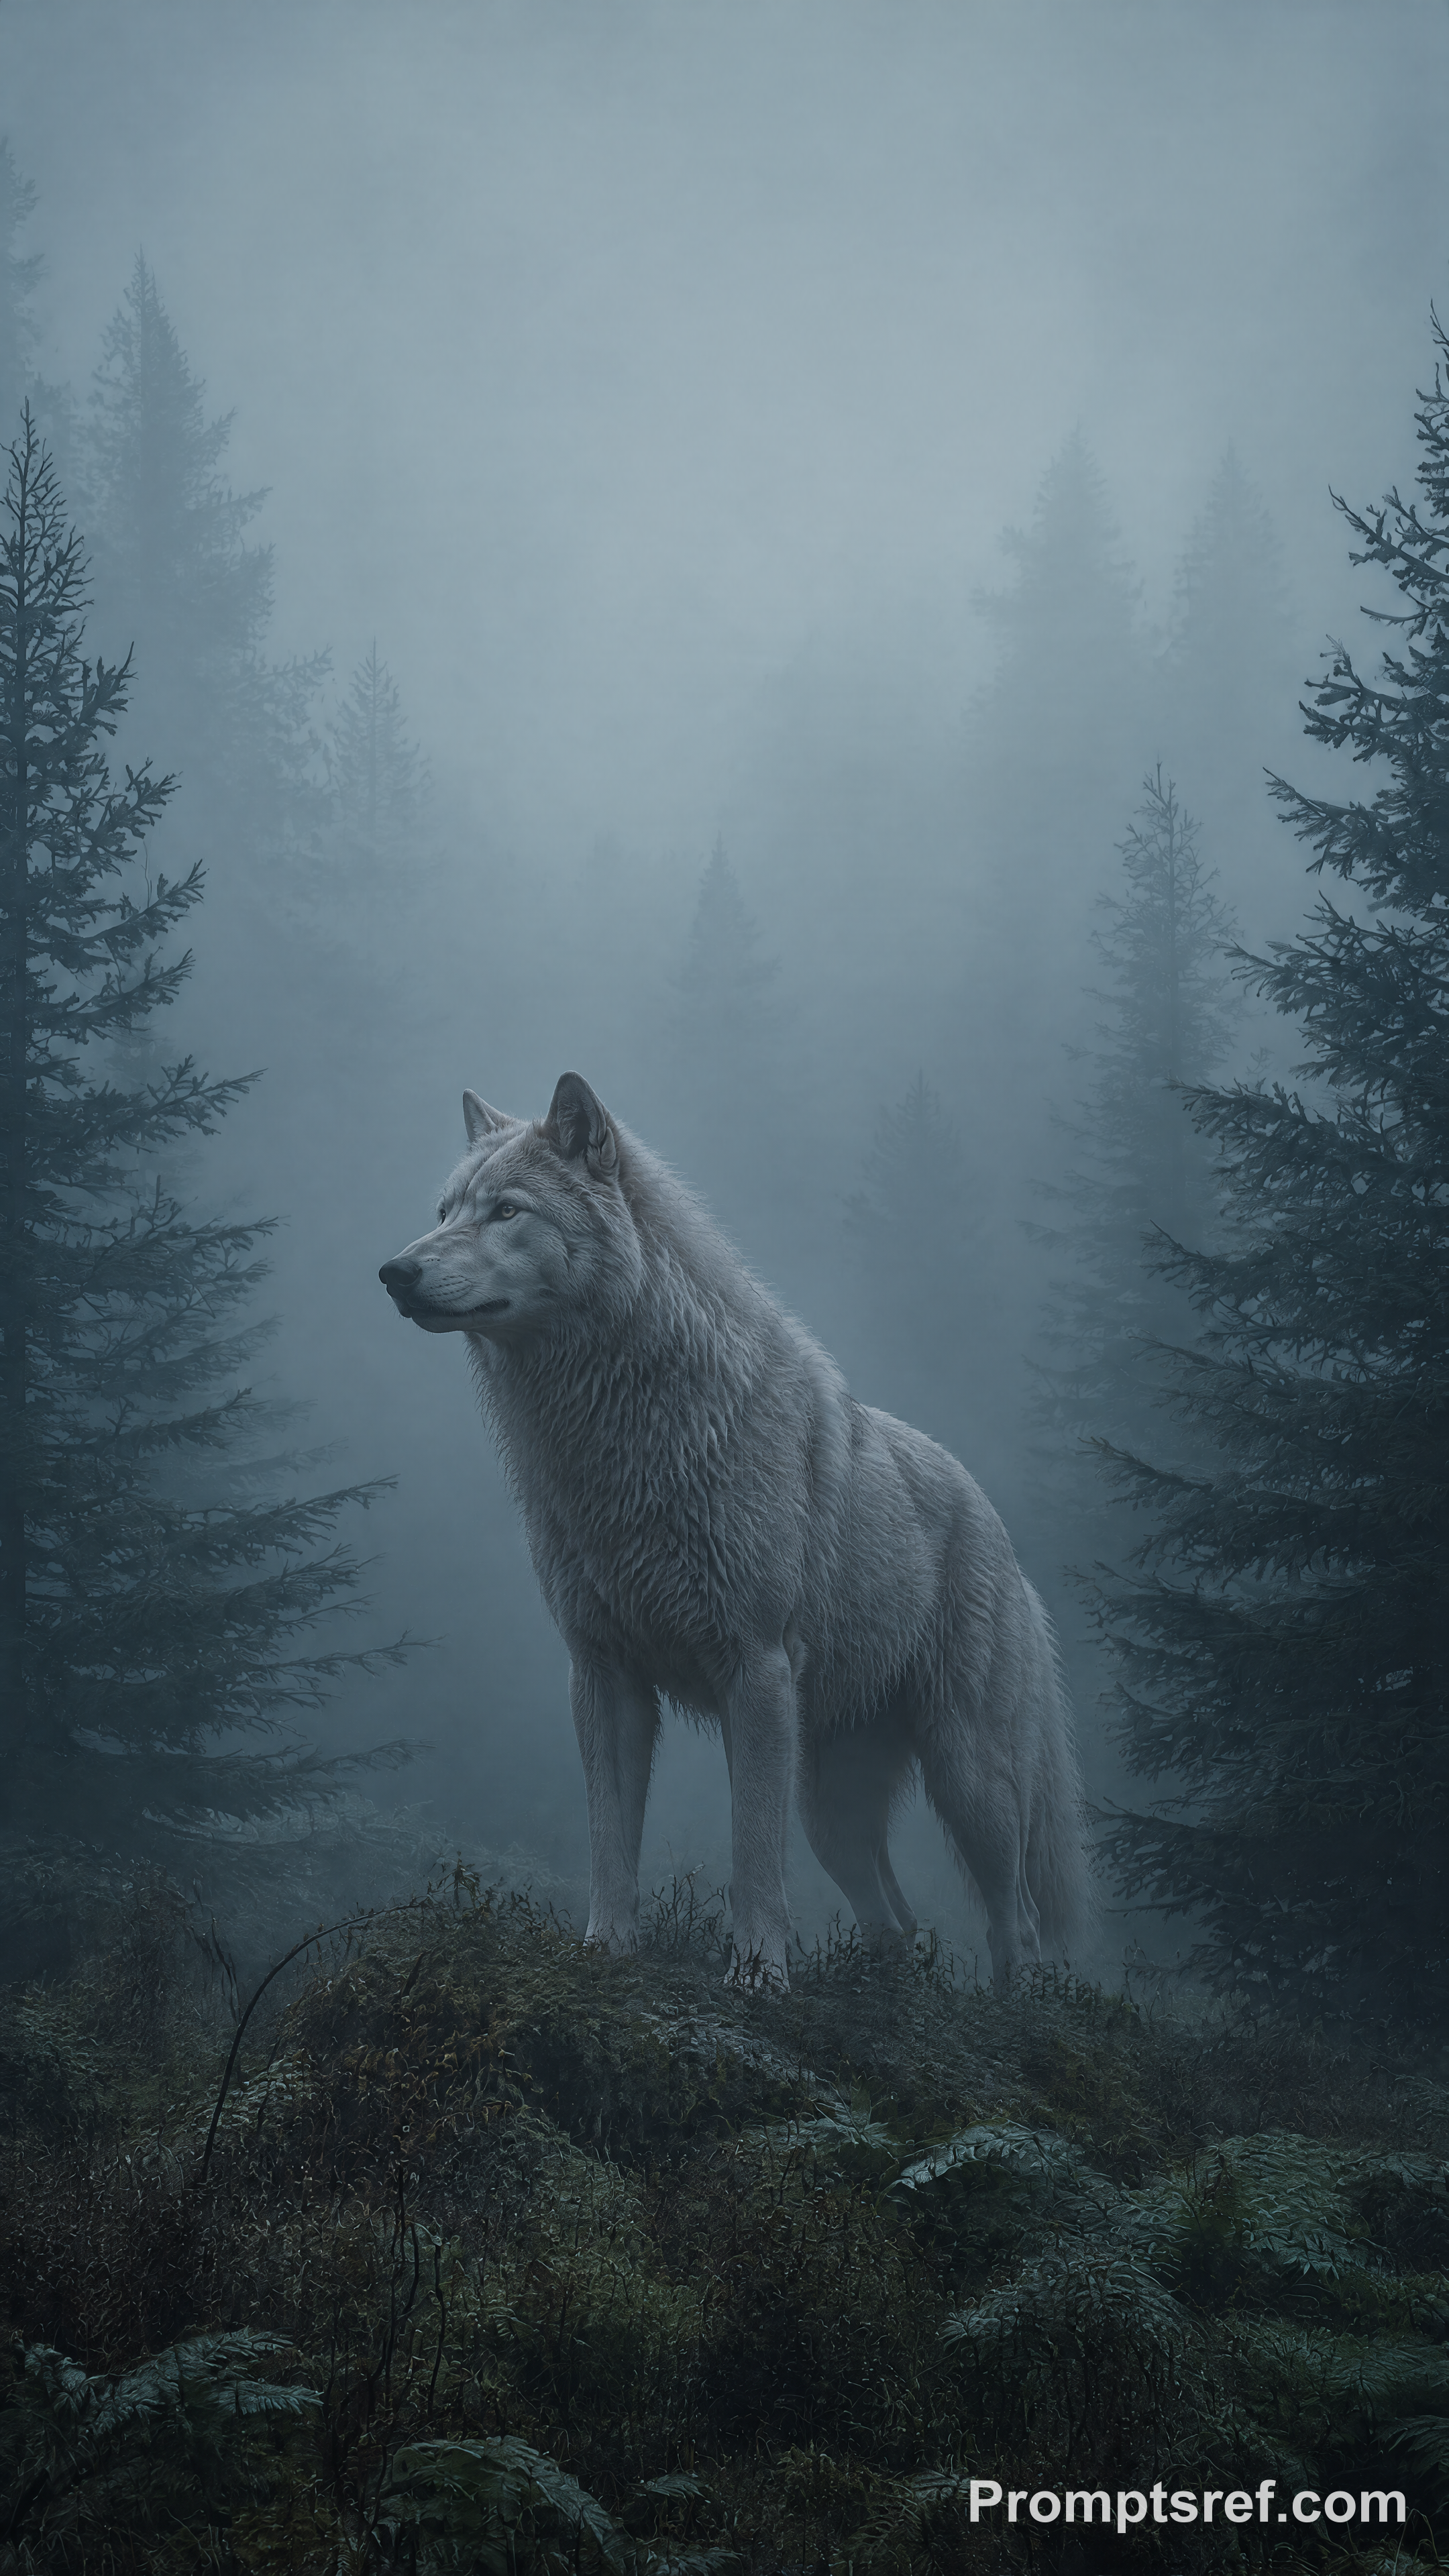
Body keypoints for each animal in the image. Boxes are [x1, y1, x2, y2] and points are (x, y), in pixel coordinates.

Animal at [380, 1073, 1091, 1990]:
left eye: (506, 1211)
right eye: (444, 1211)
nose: (395, 1272)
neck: (625, 1446)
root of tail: (1001, 1536)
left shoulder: (753, 1672)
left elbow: (751, 1853)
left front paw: (758, 1977)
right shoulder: (602, 1676)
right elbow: (611, 1840)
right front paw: (603, 1950)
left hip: (971, 1785)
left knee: (1021, 1925)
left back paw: (1010, 2011)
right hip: (832, 1813)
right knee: (898, 1923)